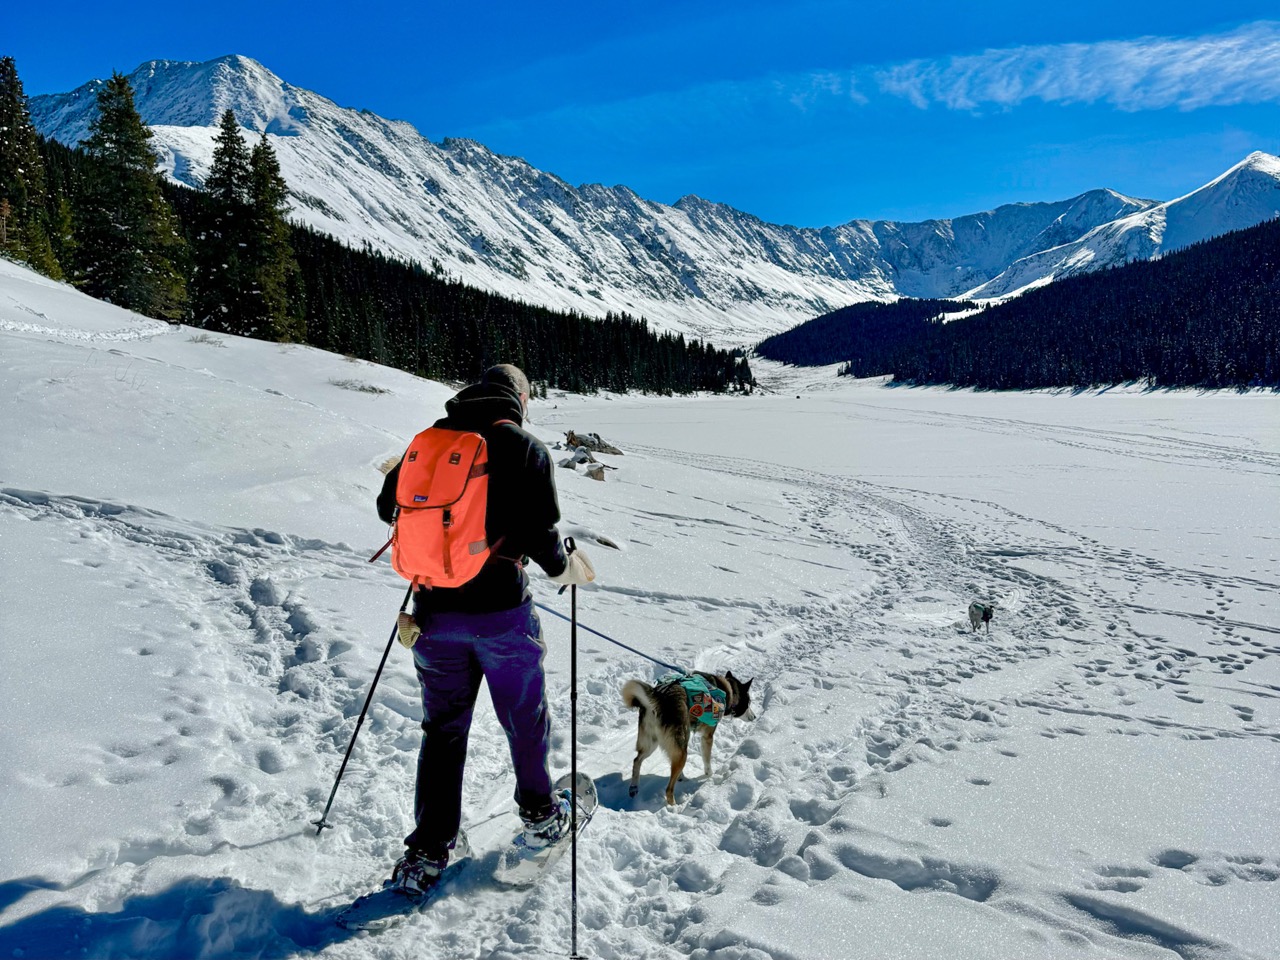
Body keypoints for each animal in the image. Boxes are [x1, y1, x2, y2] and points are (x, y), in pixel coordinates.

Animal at [622, 670, 752, 808]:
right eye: (748, 702)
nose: (754, 717)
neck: (727, 689)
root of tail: (659, 697)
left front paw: (682, 776)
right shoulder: (707, 737)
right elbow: (707, 761)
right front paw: (710, 775)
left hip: (653, 743)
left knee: (637, 760)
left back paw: (634, 787)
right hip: (680, 751)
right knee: (668, 789)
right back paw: (674, 807)